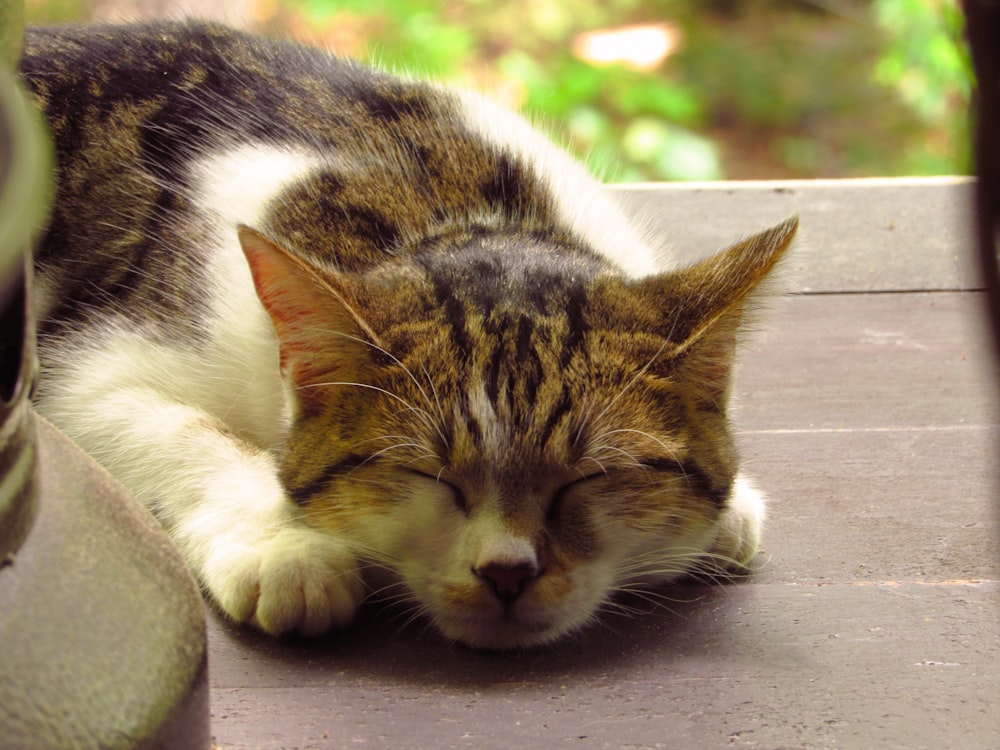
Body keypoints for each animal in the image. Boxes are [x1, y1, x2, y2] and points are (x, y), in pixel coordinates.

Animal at [17, 20, 796, 648]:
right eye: (425, 475)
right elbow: (189, 431)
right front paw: (285, 546)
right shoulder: (86, 367)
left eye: (591, 479)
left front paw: (729, 510)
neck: (450, 211)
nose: (507, 573)